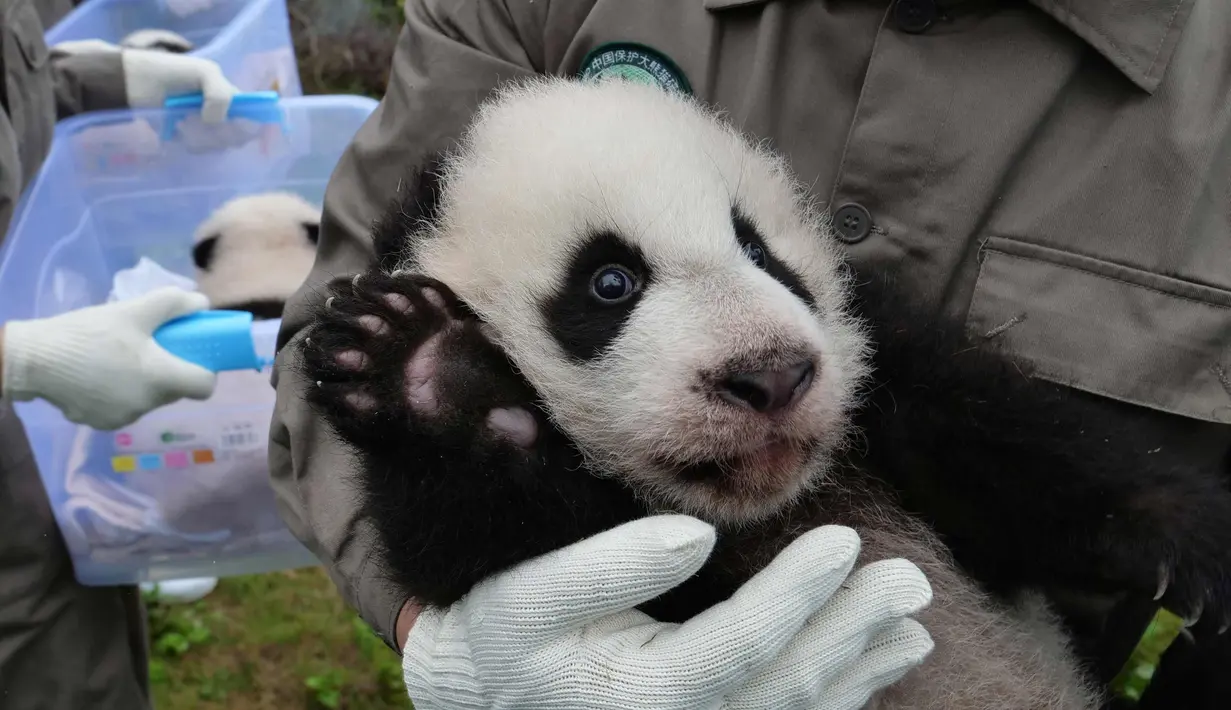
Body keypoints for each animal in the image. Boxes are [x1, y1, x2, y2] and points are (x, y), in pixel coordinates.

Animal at [293, 77, 1231, 709]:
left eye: (758, 251)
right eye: (609, 283)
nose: (772, 374)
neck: (769, 507)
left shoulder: (878, 361)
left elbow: (1002, 444)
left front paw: (1190, 545)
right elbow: (487, 534)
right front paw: (429, 367)